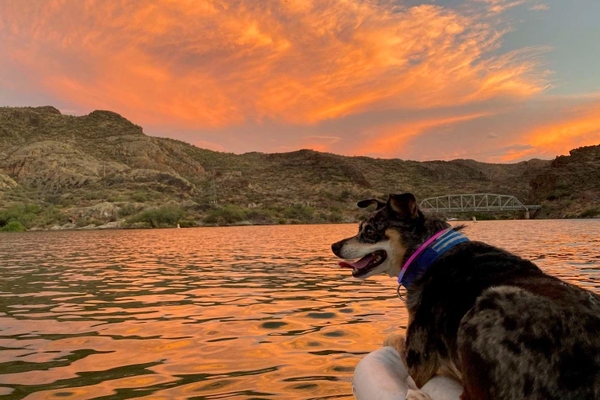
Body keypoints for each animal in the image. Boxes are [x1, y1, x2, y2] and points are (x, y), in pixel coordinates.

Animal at [332, 192, 600, 398]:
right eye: (359, 229)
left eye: (369, 231)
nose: (334, 245)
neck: (429, 255)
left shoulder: (418, 362)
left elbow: (392, 337)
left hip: (489, 304)